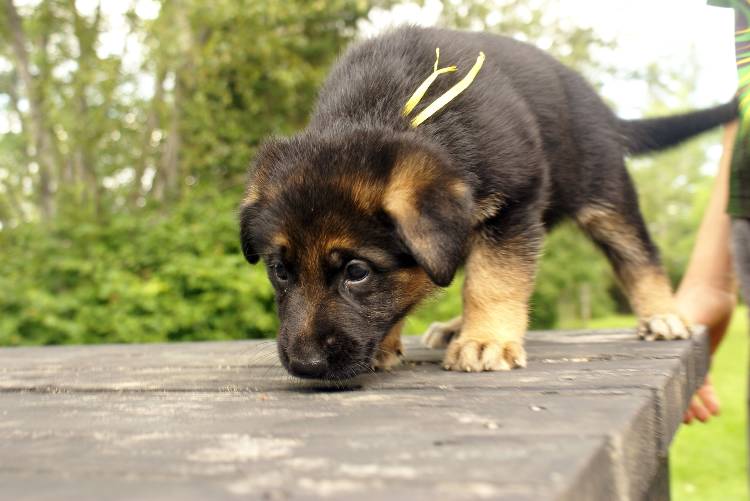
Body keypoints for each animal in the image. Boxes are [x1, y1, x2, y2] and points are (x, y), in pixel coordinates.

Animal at [242, 26, 740, 378]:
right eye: (279, 271)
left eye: (357, 272)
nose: (304, 366)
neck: (396, 109)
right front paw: (395, 341)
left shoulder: (513, 207)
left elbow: (494, 281)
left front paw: (487, 341)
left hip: (603, 193)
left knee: (638, 253)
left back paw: (662, 315)